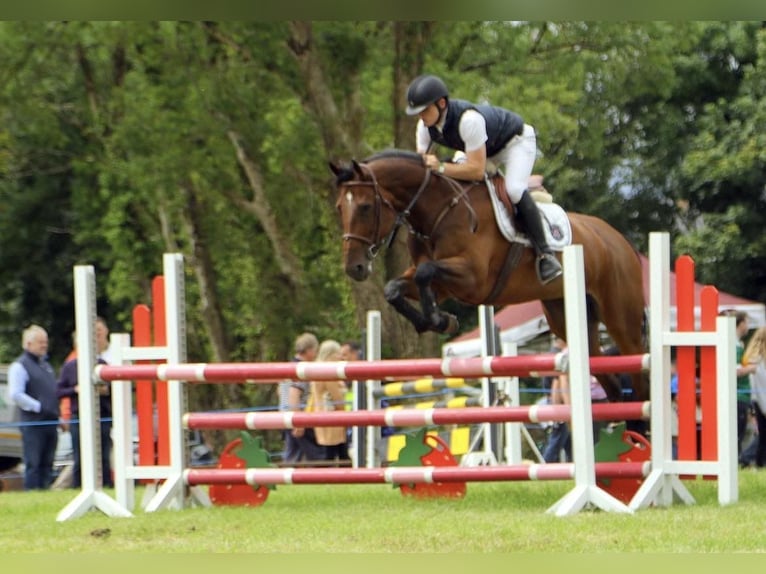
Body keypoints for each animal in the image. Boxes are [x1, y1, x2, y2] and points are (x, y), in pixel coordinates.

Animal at [330, 148, 648, 402]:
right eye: (339, 207)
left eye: (365, 206)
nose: (354, 268)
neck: (438, 208)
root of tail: (620, 240)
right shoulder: (444, 286)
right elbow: (395, 288)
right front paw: (437, 321)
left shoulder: (473, 279)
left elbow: (424, 272)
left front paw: (439, 320)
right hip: (566, 315)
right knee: (611, 381)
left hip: (621, 318)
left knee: (638, 373)